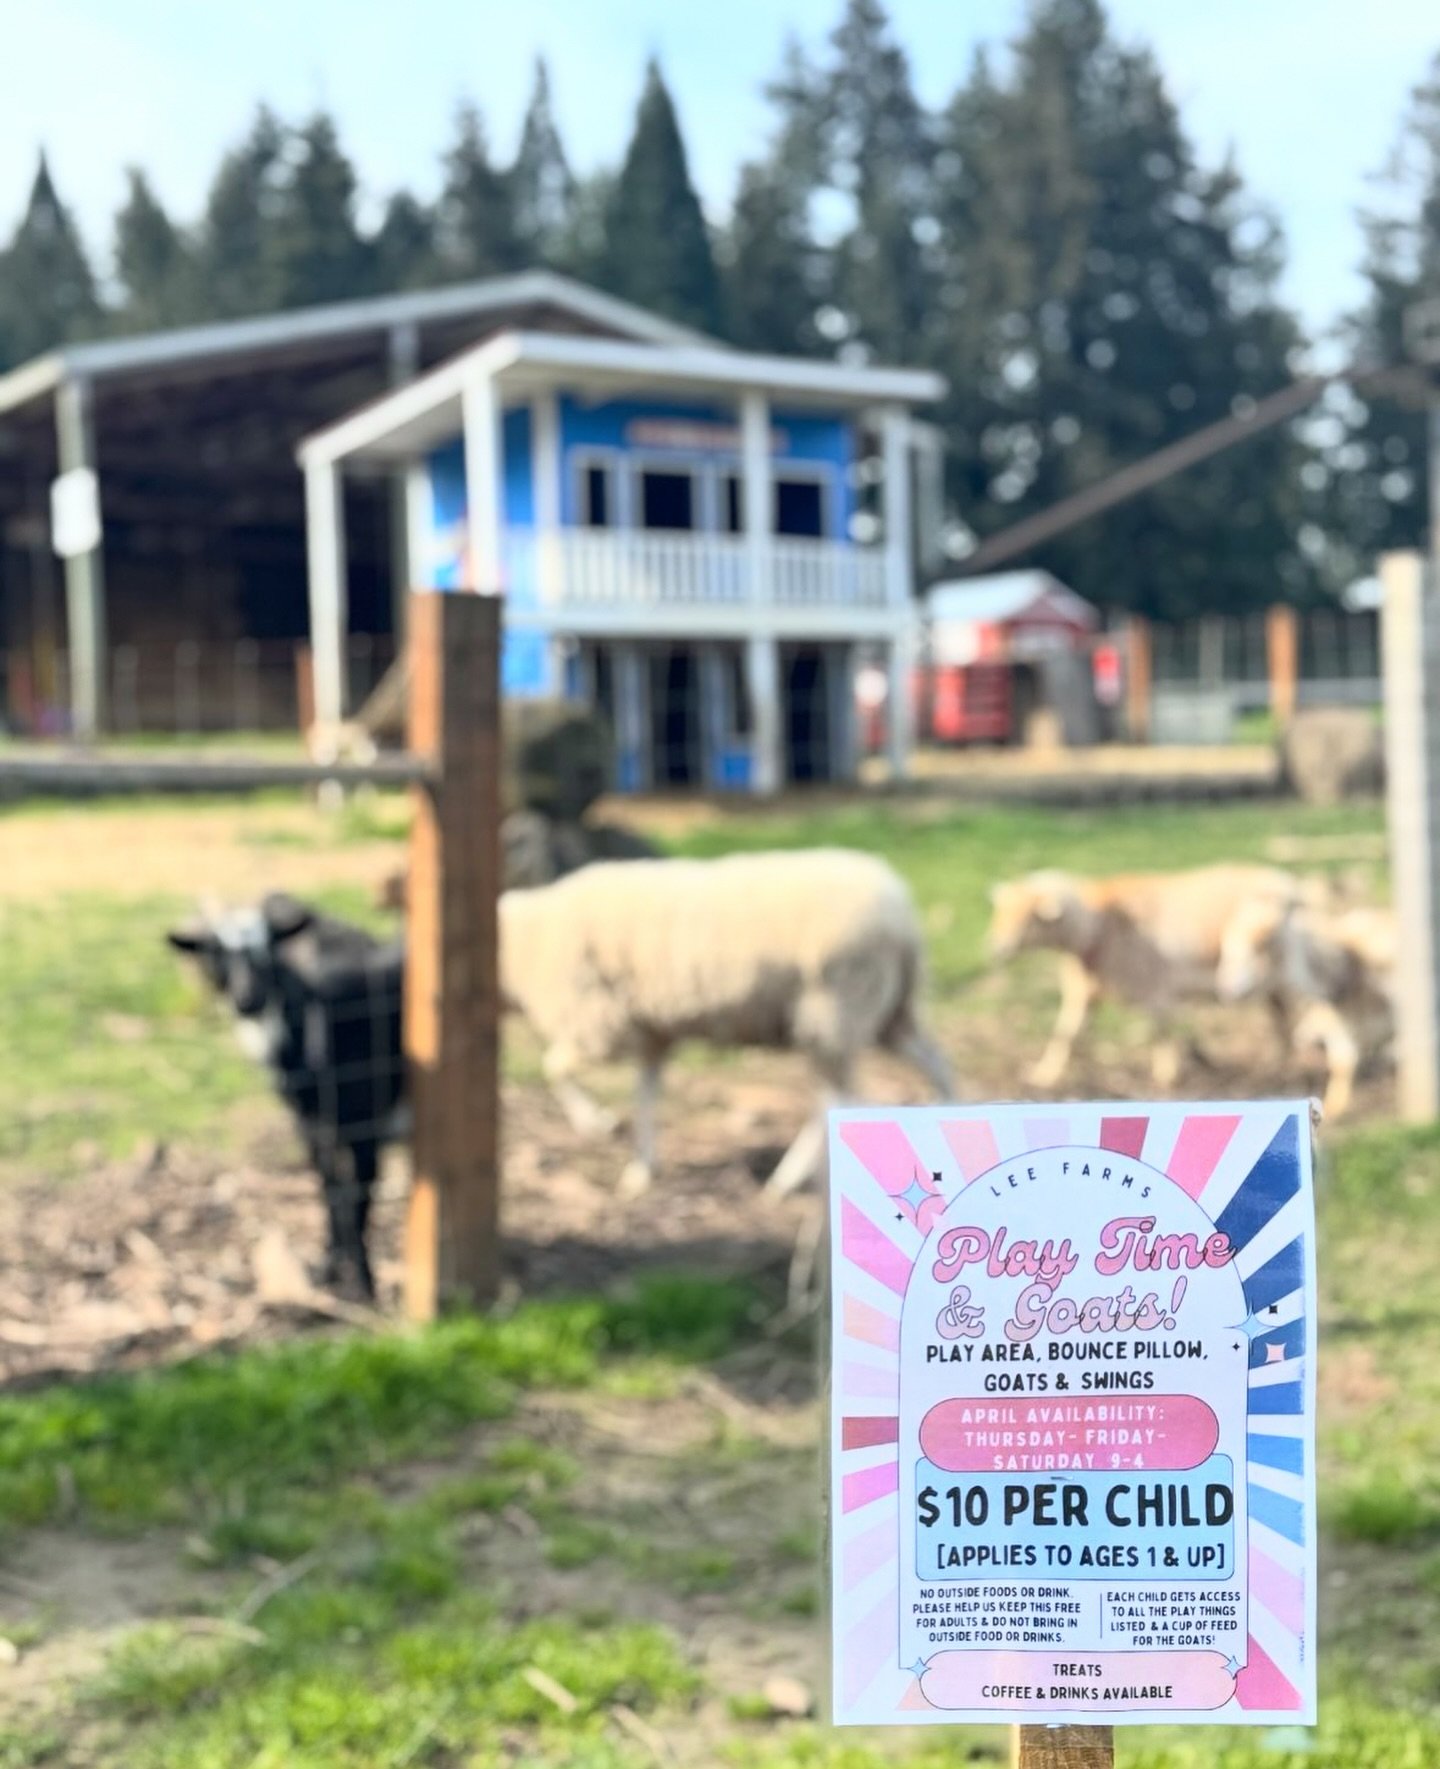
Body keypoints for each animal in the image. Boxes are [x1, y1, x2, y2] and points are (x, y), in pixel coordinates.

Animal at [168, 898, 406, 1301]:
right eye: (216, 953)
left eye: (267, 949)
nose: (248, 1000)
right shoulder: (309, 1126)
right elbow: (330, 1191)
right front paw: (328, 1268)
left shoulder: (363, 1123)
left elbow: (357, 1196)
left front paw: (363, 1282)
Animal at [502, 849, 955, 1195]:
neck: (521, 943)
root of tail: (903, 919)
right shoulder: (651, 1032)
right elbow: (645, 1096)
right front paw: (642, 1169)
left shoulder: (599, 1023)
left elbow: (554, 1069)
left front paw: (597, 1124)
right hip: (890, 1012)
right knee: (935, 1062)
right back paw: (951, 1123)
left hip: (833, 1009)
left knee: (837, 1100)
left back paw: (786, 1179)